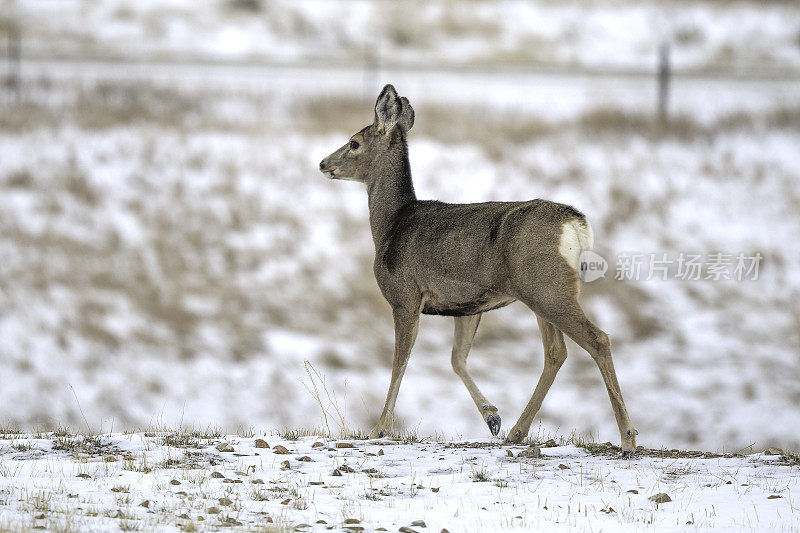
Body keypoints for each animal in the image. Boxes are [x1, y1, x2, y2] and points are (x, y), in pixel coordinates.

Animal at [318, 84, 636, 454]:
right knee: (556, 352)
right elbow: (457, 359)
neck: (390, 225)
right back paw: (516, 431)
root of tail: (577, 222)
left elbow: (400, 362)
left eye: (354, 142)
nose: (323, 163)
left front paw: (379, 428)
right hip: (541, 291)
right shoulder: (466, 306)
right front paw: (492, 416)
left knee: (598, 339)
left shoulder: (405, 297)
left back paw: (627, 436)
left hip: (548, 288)